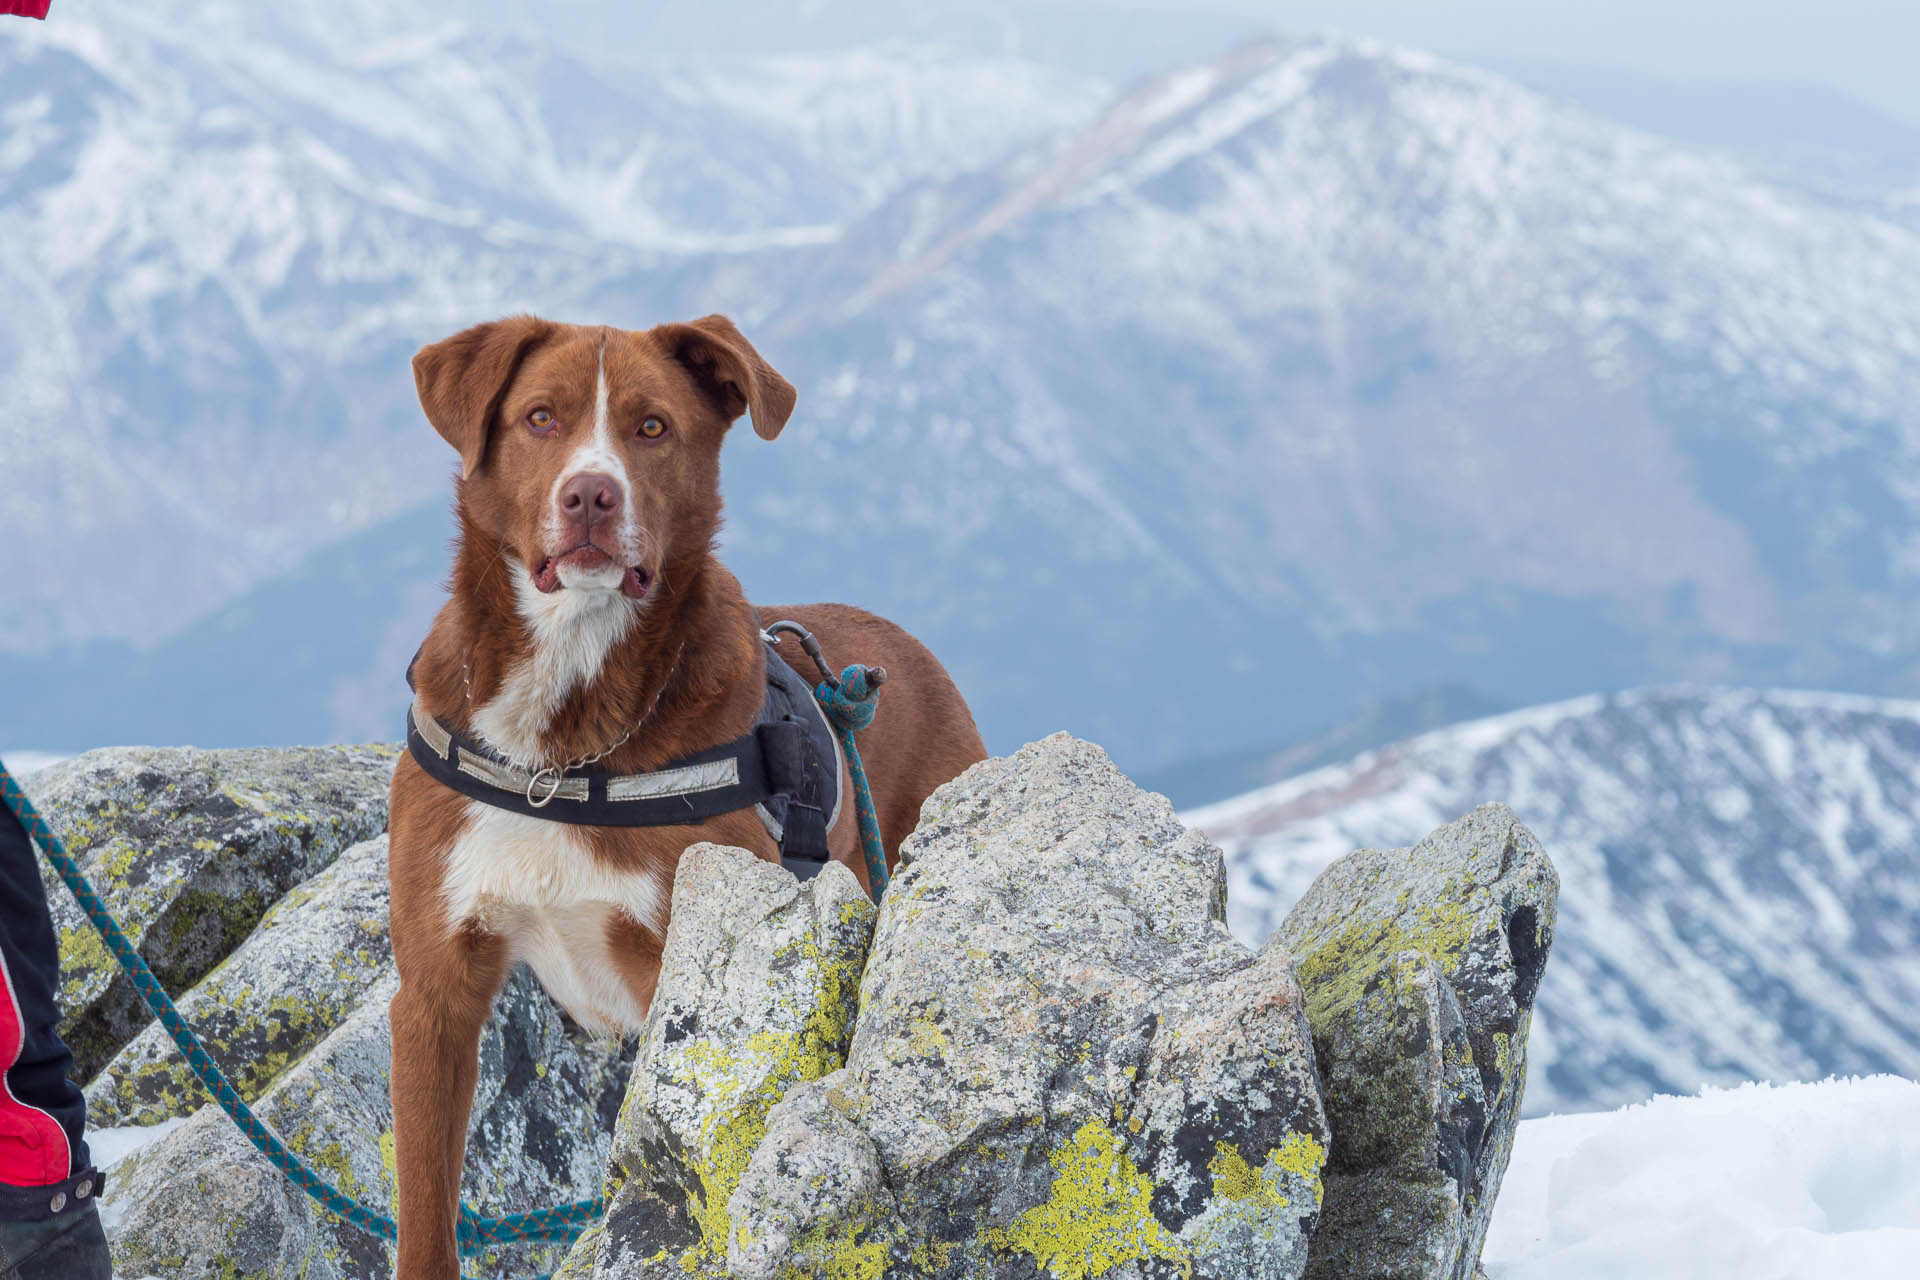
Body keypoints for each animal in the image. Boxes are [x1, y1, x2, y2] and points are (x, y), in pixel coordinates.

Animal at [387, 312, 990, 1280]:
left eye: (653, 427)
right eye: (541, 417)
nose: (590, 497)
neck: (561, 749)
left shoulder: (694, 973)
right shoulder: (435, 990)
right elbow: (425, 1215)